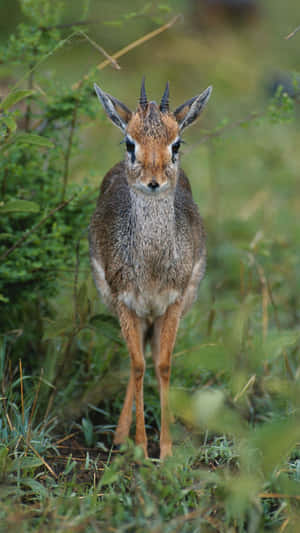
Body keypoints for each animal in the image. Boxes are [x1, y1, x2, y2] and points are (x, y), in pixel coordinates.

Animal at [88, 78, 211, 458]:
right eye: (130, 143)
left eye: (176, 143)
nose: (153, 181)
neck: (153, 267)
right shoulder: (126, 303)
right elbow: (139, 366)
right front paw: (141, 448)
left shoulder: (173, 303)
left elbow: (163, 365)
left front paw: (167, 450)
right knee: (137, 358)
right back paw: (119, 437)